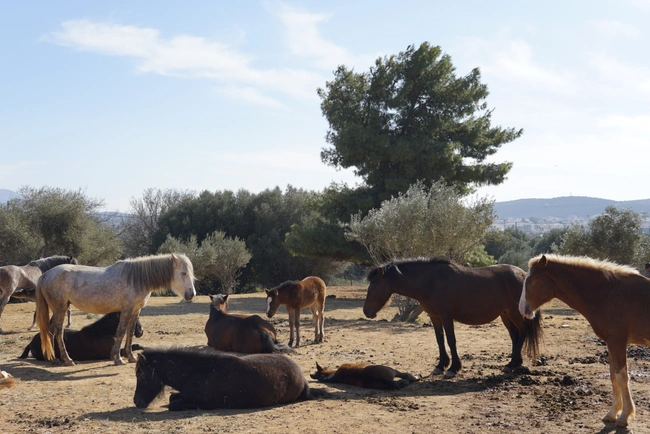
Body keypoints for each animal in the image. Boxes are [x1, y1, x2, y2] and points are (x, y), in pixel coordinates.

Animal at [36, 253, 195, 366]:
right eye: (183, 273)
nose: (191, 294)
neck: (137, 278)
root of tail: (45, 275)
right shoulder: (127, 309)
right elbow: (121, 332)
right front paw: (117, 358)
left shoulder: (136, 310)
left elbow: (130, 332)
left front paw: (131, 357)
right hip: (60, 308)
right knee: (58, 331)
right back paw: (66, 359)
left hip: (58, 309)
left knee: (50, 330)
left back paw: (53, 359)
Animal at [133, 347, 311, 410]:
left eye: (141, 375)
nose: (136, 401)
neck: (198, 372)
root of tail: (302, 379)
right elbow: (172, 398)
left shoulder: (206, 404)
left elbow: (174, 404)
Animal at [363, 258, 542, 378]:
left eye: (374, 285)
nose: (366, 311)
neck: (430, 281)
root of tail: (523, 274)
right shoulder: (434, 317)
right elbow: (440, 340)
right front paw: (441, 365)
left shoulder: (446, 316)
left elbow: (451, 340)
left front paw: (453, 368)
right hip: (505, 315)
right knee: (515, 336)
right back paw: (514, 363)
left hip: (514, 313)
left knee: (523, 331)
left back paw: (512, 364)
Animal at [519, 254, 650, 428]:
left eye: (531, 281)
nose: (522, 309)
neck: (607, 294)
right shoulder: (611, 344)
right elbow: (613, 376)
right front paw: (612, 413)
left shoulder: (617, 342)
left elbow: (621, 377)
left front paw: (624, 416)